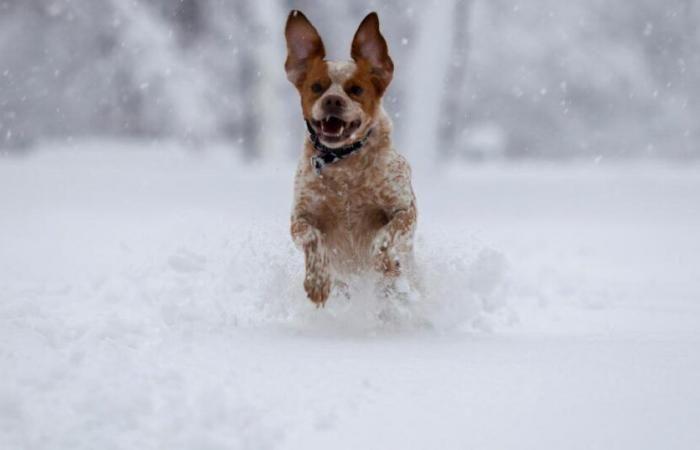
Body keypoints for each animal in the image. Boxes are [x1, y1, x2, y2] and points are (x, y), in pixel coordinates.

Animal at [284, 10, 416, 306]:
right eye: (317, 87)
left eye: (355, 89)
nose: (333, 100)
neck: (345, 167)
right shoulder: (300, 217)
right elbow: (311, 236)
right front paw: (317, 281)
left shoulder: (405, 208)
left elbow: (390, 231)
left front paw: (382, 255)